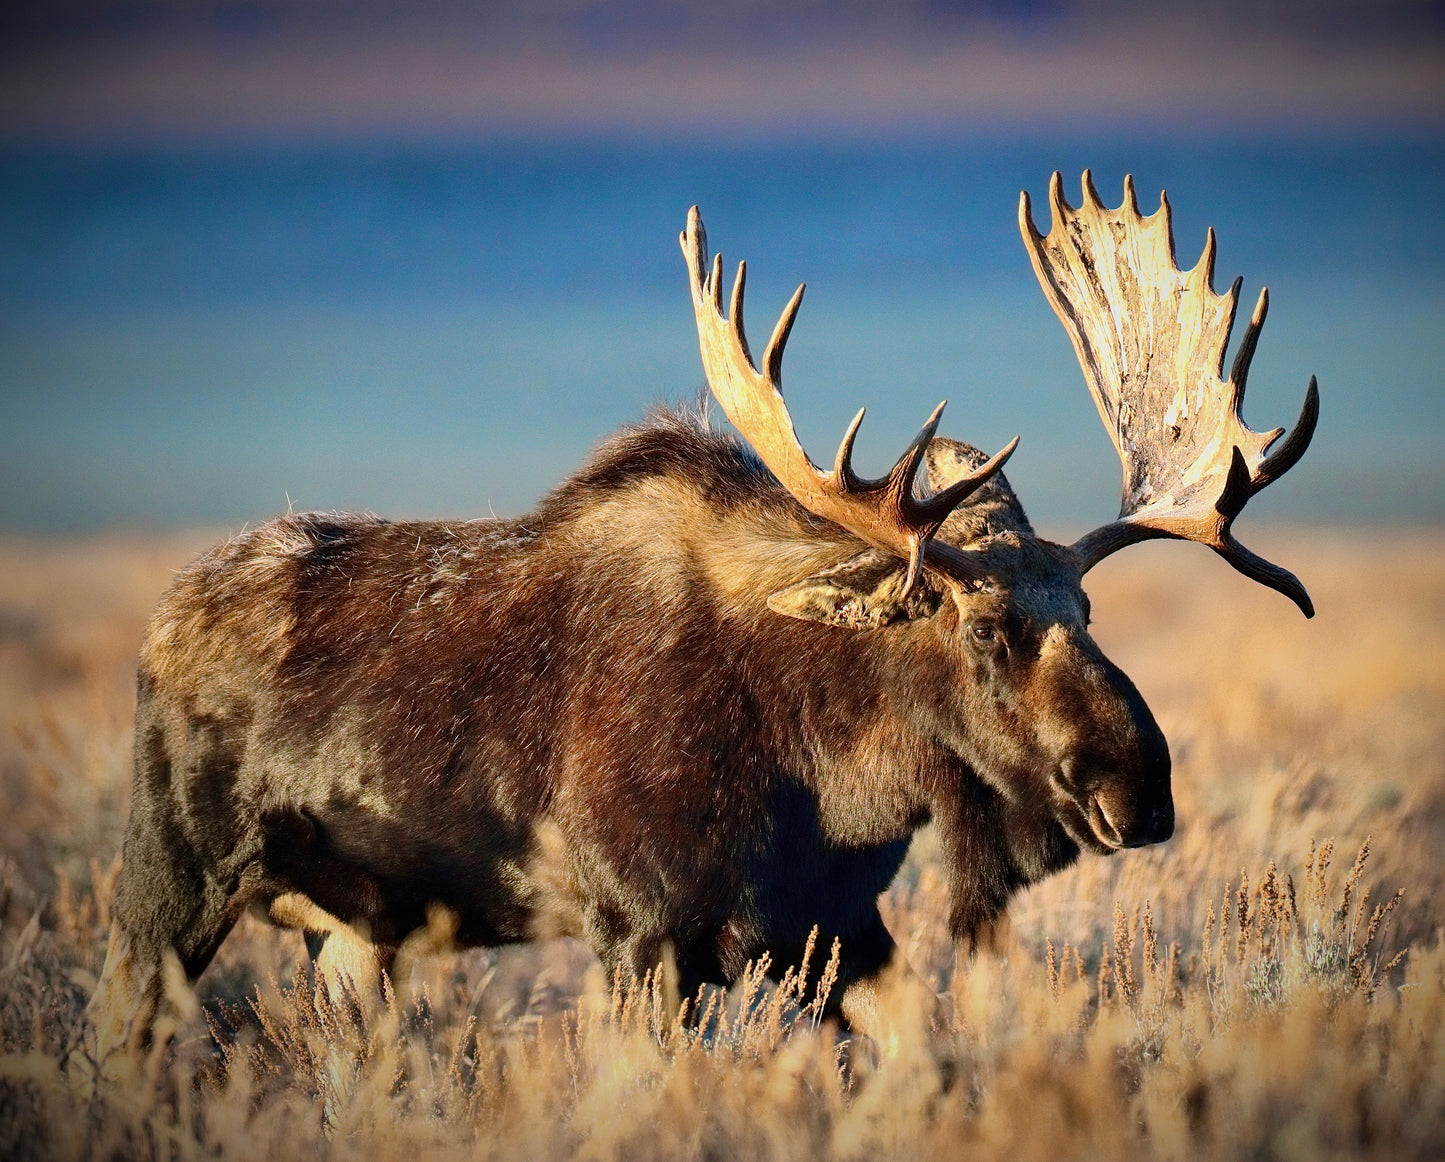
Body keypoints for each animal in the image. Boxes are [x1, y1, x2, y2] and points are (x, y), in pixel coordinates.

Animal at [82, 172, 1323, 1069]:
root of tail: (160, 621)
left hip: (350, 934)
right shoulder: (642, 935)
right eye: (978, 629)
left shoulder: (836, 929)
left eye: (1089, 608)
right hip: (170, 883)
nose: (1137, 789)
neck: (830, 772)